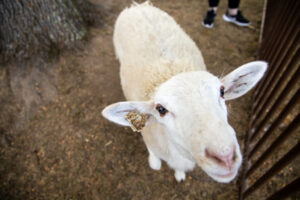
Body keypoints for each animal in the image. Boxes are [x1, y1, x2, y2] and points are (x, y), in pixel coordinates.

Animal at [102, 1, 266, 183]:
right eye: (161, 109)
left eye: (222, 92)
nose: (225, 157)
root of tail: (138, 6)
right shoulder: (149, 136)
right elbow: (154, 157)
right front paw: (154, 162)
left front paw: (180, 174)